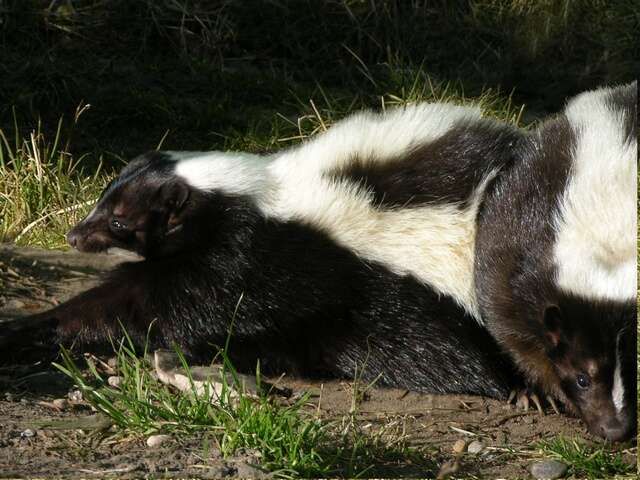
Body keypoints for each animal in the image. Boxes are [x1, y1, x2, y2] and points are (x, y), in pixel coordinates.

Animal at [0, 104, 520, 398]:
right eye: (102, 201)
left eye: (119, 221)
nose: (74, 236)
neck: (253, 197)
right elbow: (127, 299)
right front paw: (29, 327)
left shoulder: (244, 263)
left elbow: (168, 309)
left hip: (428, 313)